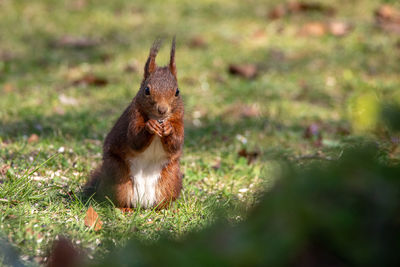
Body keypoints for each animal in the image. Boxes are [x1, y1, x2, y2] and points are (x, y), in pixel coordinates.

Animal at [85, 37, 184, 209]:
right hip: (118, 178)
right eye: (146, 90)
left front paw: (168, 129)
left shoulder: (180, 120)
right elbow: (134, 139)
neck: (158, 118)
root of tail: (142, 203)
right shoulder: (133, 116)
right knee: (117, 201)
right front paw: (150, 127)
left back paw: (165, 209)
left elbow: (176, 143)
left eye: (177, 91)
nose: (162, 109)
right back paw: (126, 209)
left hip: (170, 181)